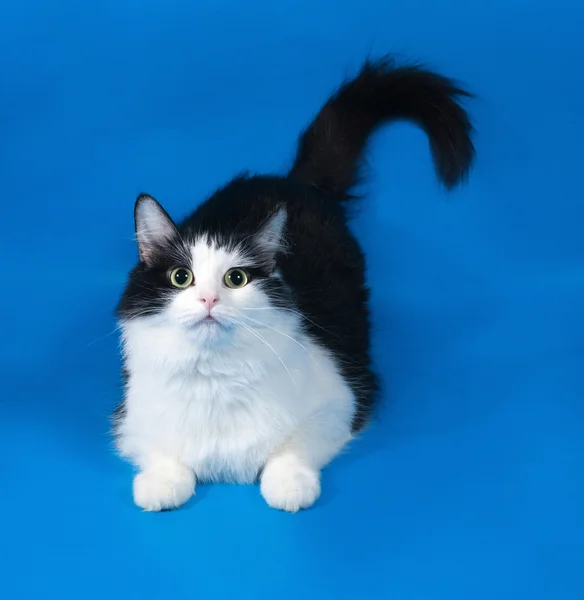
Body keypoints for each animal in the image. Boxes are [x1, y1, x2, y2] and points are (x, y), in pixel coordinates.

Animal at [113, 56, 474, 512]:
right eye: (182, 277)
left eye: (236, 279)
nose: (209, 299)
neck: (214, 376)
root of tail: (293, 181)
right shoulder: (130, 416)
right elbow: (161, 450)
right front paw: (161, 484)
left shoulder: (343, 400)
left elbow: (292, 449)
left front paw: (289, 486)